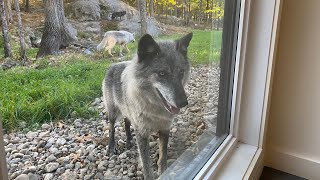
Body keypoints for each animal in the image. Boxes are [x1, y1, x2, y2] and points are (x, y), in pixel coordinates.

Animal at [102, 32, 192, 179]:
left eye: (181, 72)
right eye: (162, 73)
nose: (183, 103)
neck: (155, 110)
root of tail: (113, 65)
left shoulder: (165, 129)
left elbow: (163, 156)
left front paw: (163, 172)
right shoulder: (142, 134)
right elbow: (146, 163)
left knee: (127, 123)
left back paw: (129, 140)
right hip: (113, 113)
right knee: (111, 129)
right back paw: (111, 147)